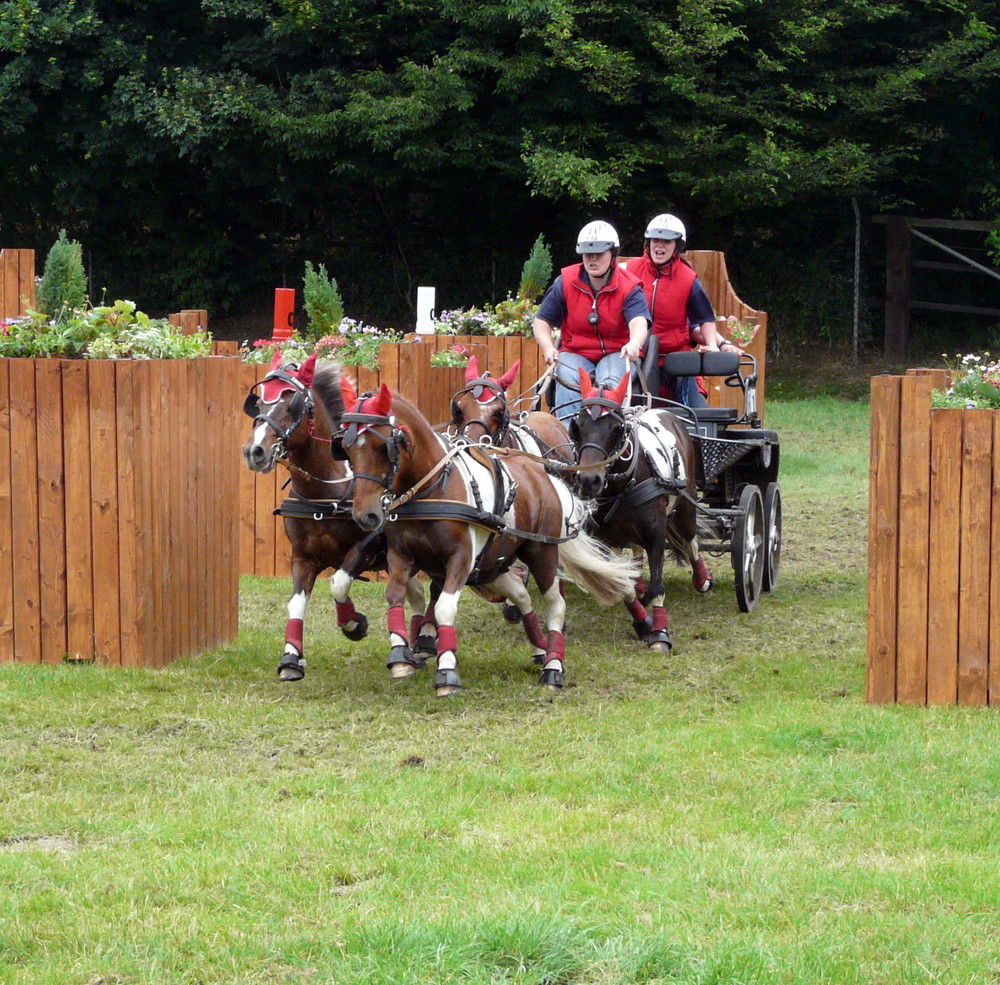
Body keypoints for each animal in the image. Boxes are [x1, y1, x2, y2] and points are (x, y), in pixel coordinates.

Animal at [244, 354, 432, 684]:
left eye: (292, 405)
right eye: (260, 402)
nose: (255, 451)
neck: (325, 492)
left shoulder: (366, 547)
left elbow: (339, 583)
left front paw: (354, 623)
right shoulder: (302, 557)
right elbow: (296, 602)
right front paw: (291, 658)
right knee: (417, 593)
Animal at [328, 376, 640, 692]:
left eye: (383, 448)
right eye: (345, 448)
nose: (365, 515)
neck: (432, 490)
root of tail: (542, 474)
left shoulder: (461, 558)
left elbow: (444, 608)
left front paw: (446, 670)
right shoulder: (401, 555)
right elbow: (390, 595)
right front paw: (399, 653)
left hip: (541, 553)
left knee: (555, 605)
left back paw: (553, 665)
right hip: (493, 565)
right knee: (522, 597)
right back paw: (540, 647)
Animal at [568, 364, 716, 652]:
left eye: (616, 428)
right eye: (577, 426)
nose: (589, 480)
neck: (624, 485)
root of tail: (666, 412)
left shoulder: (655, 534)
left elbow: (657, 586)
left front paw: (659, 632)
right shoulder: (608, 542)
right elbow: (623, 586)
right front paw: (642, 621)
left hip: (685, 509)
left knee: (691, 542)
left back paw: (702, 578)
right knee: (637, 552)